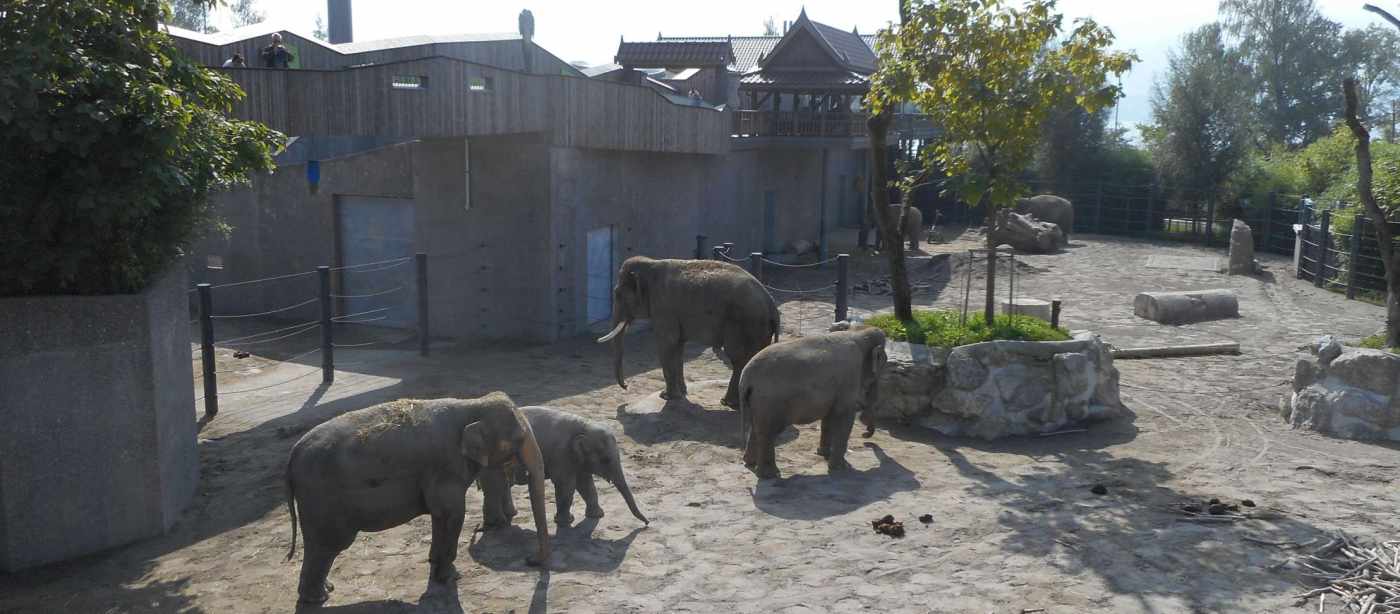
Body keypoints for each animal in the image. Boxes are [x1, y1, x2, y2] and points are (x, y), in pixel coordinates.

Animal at [281, 394, 548, 607]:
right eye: (520, 438)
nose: (530, 561)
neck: (473, 403)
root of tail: (293, 454)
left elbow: (441, 516)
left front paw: (436, 566)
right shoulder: (446, 466)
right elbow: (453, 514)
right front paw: (450, 577)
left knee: (320, 548)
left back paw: (326, 590)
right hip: (322, 500)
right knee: (327, 546)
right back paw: (317, 598)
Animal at [478, 408, 646, 528]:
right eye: (606, 460)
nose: (647, 523)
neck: (583, 426)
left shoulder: (577, 460)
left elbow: (586, 484)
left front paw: (597, 515)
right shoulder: (561, 455)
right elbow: (567, 485)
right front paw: (565, 521)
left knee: (502, 485)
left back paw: (510, 514)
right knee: (495, 486)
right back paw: (497, 523)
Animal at [599, 254, 784, 408]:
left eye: (618, 294)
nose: (626, 386)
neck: (651, 263)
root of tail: (772, 305)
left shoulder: (664, 307)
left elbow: (667, 344)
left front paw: (666, 396)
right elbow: (678, 346)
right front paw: (681, 393)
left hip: (744, 323)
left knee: (738, 358)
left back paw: (728, 403)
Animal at [744, 327, 884, 481]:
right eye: (875, 377)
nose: (865, 437)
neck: (859, 333)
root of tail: (746, 376)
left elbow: (829, 419)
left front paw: (824, 454)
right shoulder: (849, 378)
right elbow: (844, 417)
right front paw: (842, 468)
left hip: (756, 401)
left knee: (755, 428)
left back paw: (751, 463)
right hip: (769, 402)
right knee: (768, 432)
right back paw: (770, 475)